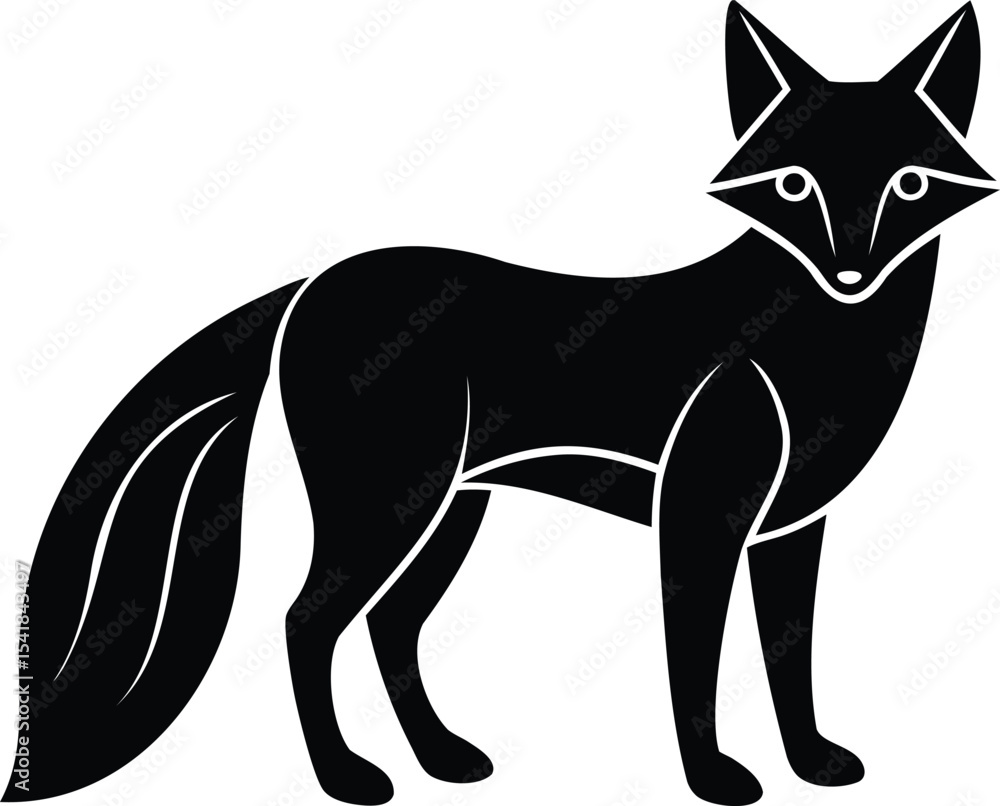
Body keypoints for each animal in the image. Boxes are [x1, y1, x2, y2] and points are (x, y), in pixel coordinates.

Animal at [5, 4, 997, 806]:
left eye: (909, 183)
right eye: (794, 185)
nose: (851, 270)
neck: (822, 341)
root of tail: (315, 282)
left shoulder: (793, 528)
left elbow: (792, 658)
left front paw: (812, 764)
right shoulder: (698, 520)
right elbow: (695, 664)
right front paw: (715, 779)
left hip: (448, 510)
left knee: (391, 625)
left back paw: (441, 759)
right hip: (388, 509)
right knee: (306, 620)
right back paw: (348, 778)